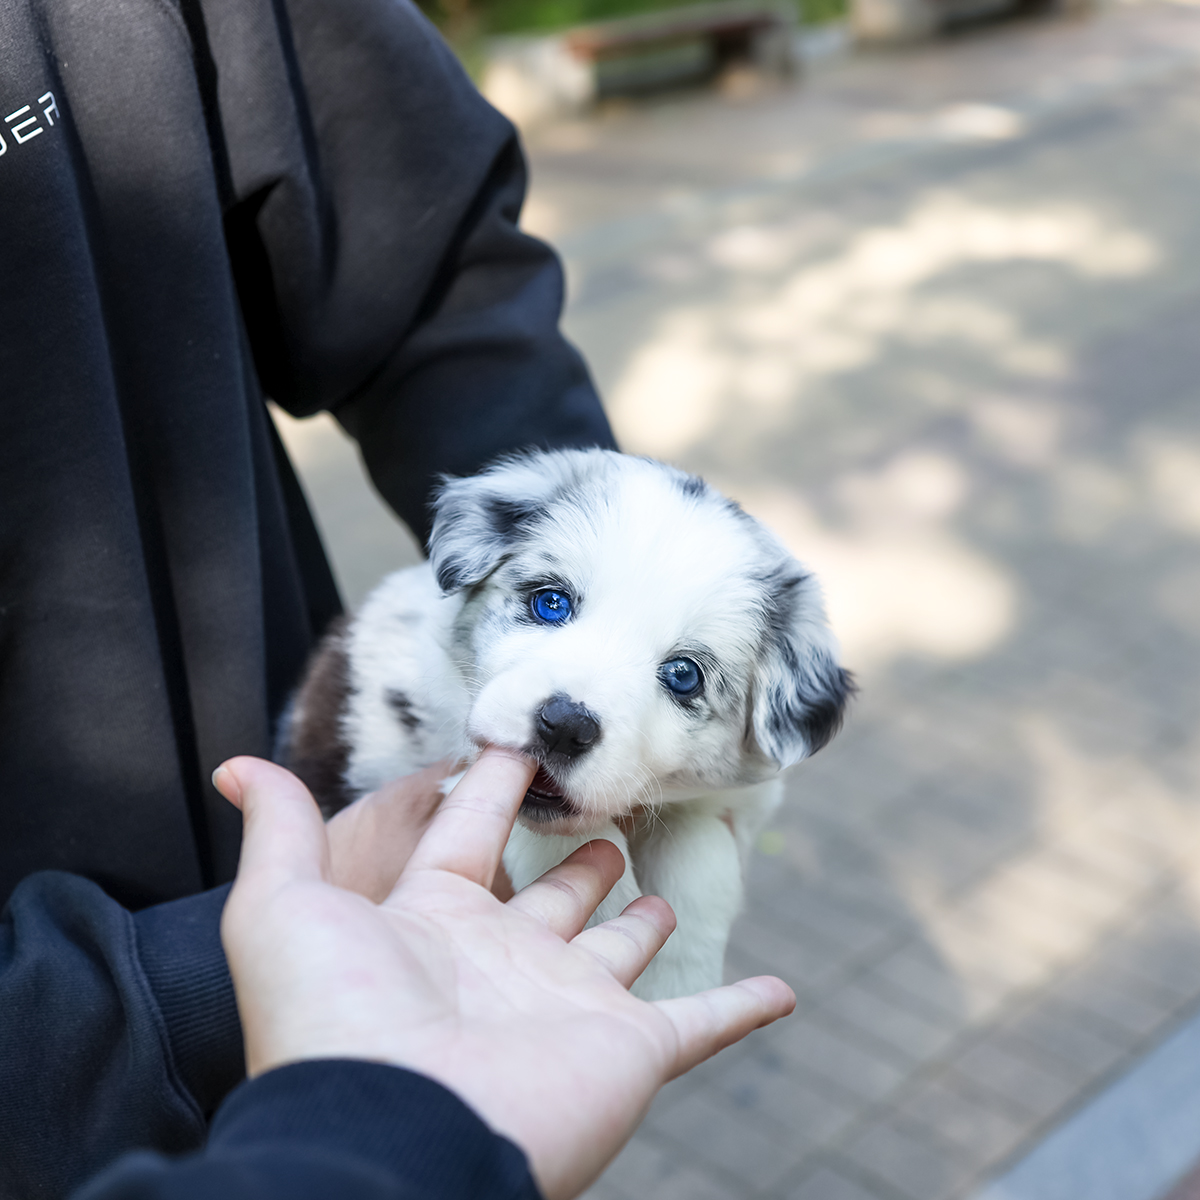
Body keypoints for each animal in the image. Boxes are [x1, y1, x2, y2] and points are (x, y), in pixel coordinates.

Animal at [278, 446, 854, 998]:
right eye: (551, 603)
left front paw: (676, 980)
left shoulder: (732, 800)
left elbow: (701, 857)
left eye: (684, 675)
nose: (564, 725)